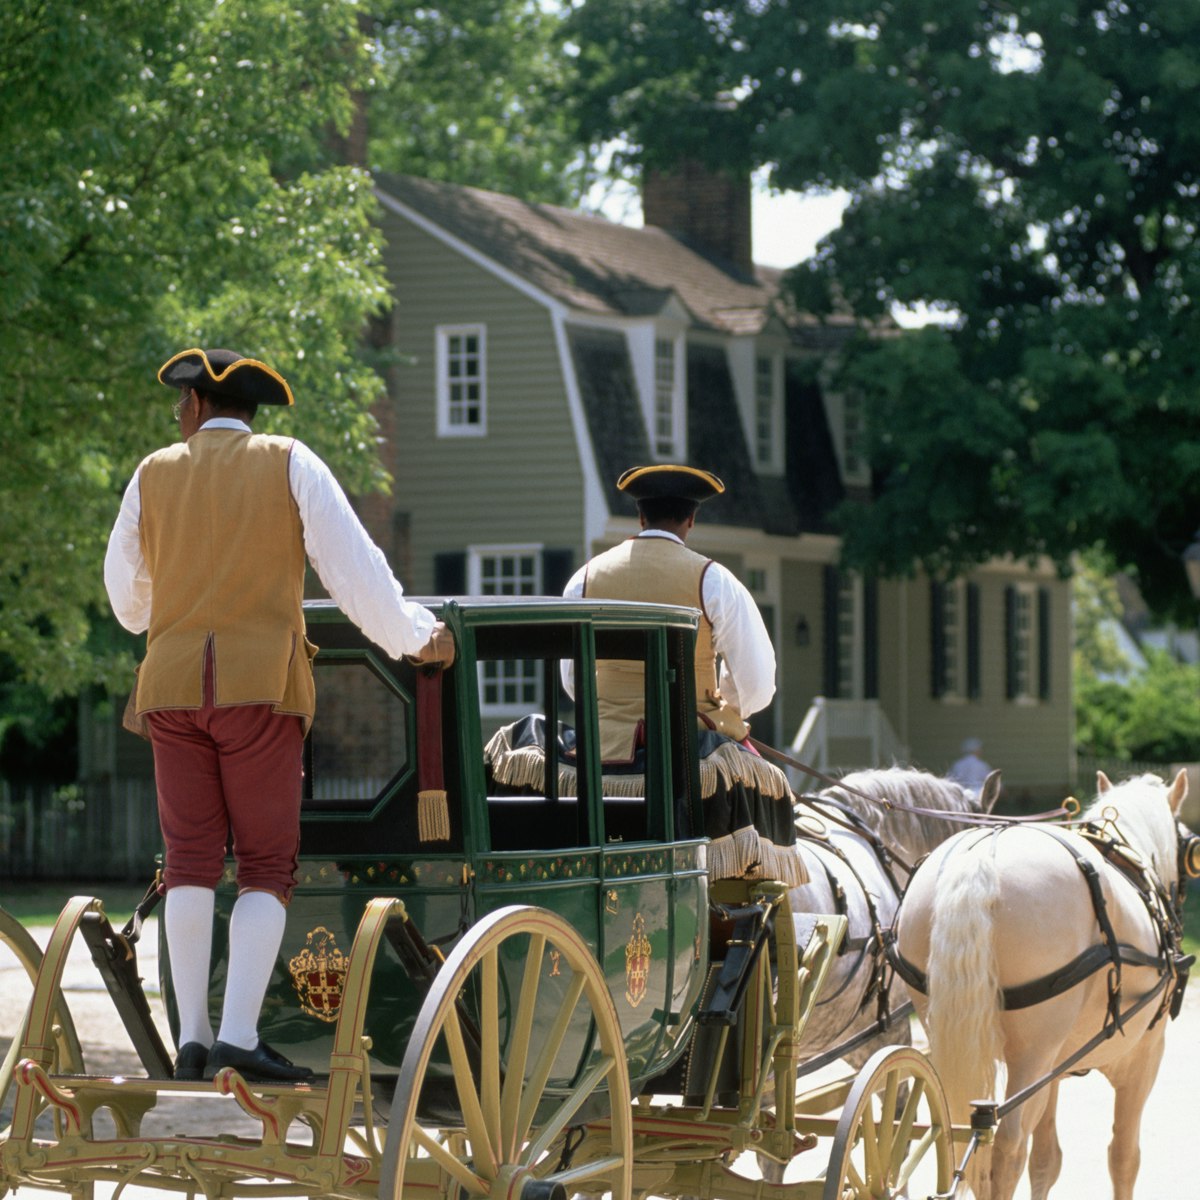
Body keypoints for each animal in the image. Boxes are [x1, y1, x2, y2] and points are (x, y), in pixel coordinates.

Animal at [897, 768, 1185, 1200]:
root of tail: (980, 858)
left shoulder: (1055, 1071)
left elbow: (1047, 1159)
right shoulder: (1143, 1057)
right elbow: (1123, 1157)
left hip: (954, 1033)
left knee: (962, 1135)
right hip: (1033, 1054)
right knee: (1007, 1147)